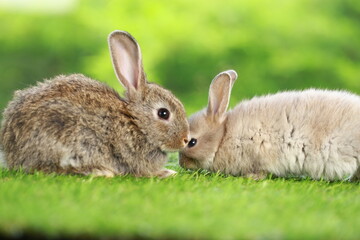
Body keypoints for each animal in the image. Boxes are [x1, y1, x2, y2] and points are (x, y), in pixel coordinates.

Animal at [0, 30, 190, 177]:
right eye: (163, 113)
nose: (186, 140)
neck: (135, 122)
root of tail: (11, 150)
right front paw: (166, 173)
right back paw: (99, 171)